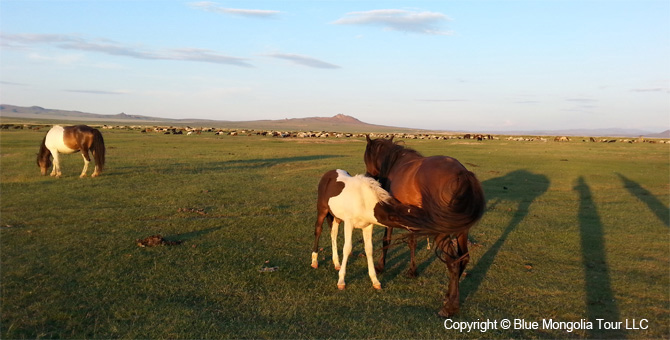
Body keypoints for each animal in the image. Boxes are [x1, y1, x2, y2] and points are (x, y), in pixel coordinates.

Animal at [364, 135, 486, 316]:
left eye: (366, 157)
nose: (368, 177)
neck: (394, 164)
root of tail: (462, 174)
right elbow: (412, 242)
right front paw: (412, 271)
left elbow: (387, 240)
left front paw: (380, 266)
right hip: (461, 230)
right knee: (464, 258)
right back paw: (448, 296)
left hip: (443, 232)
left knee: (453, 262)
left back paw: (450, 307)